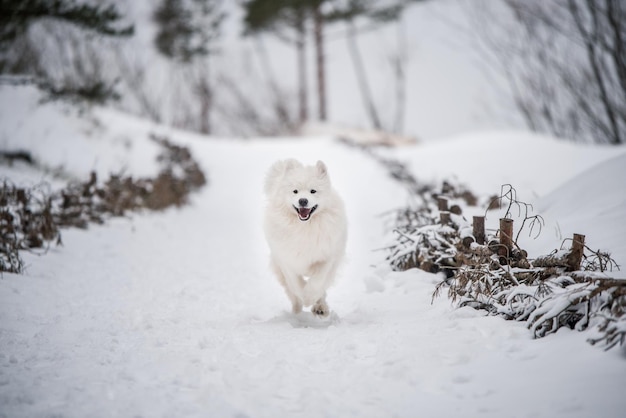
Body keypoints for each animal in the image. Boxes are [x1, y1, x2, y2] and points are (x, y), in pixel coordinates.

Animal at [260, 158, 344, 316]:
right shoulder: (287, 261)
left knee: (322, 289)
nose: (303, 201)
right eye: (295, 191)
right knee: (291, 292)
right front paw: (303, 298)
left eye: (313, 191)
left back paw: (320, 308)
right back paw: (297, 309)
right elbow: (296, 284)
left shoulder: (326, 258)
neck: (304, 227)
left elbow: (316, 282)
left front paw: (310, 298)